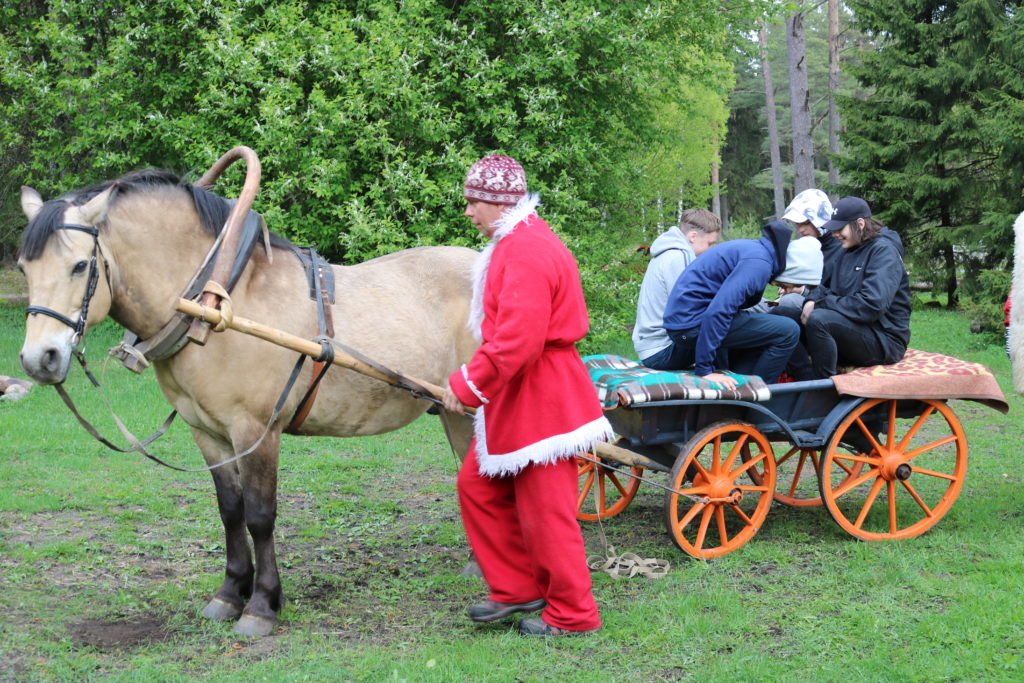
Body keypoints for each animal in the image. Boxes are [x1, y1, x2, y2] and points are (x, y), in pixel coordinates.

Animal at [17, 170, 479, 636]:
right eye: (23, 268)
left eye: (80, 265)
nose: (40, 359)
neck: (215, 306)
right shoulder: (207, 432)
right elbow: (230, 510)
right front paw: (229, 592)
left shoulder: (256, 429)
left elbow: (259, 514)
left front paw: (261, 604)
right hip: (455, 413)